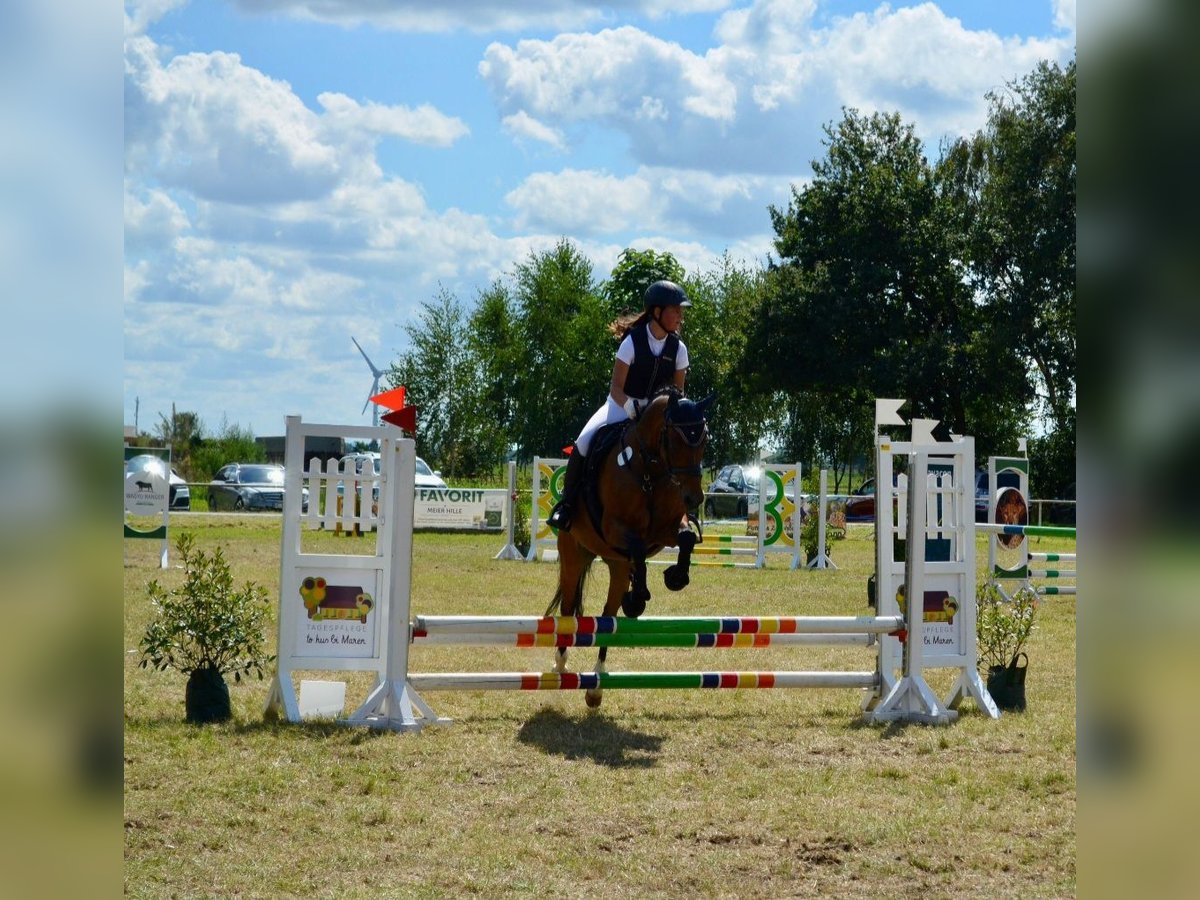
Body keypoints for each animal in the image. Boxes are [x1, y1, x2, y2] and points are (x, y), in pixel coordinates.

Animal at [547, 388, 710, 710]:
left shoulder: (666, 529)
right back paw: (560, 663)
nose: (694, 498)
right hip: (574, 555)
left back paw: (596, 686)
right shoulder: (615, 528)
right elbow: (637, 547)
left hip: (616, 565)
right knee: (569, 608)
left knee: (609, 618)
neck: (650, 470)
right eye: (674, 440)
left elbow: (684, 538)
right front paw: (638, 598)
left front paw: (676, 577)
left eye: (704, 440)